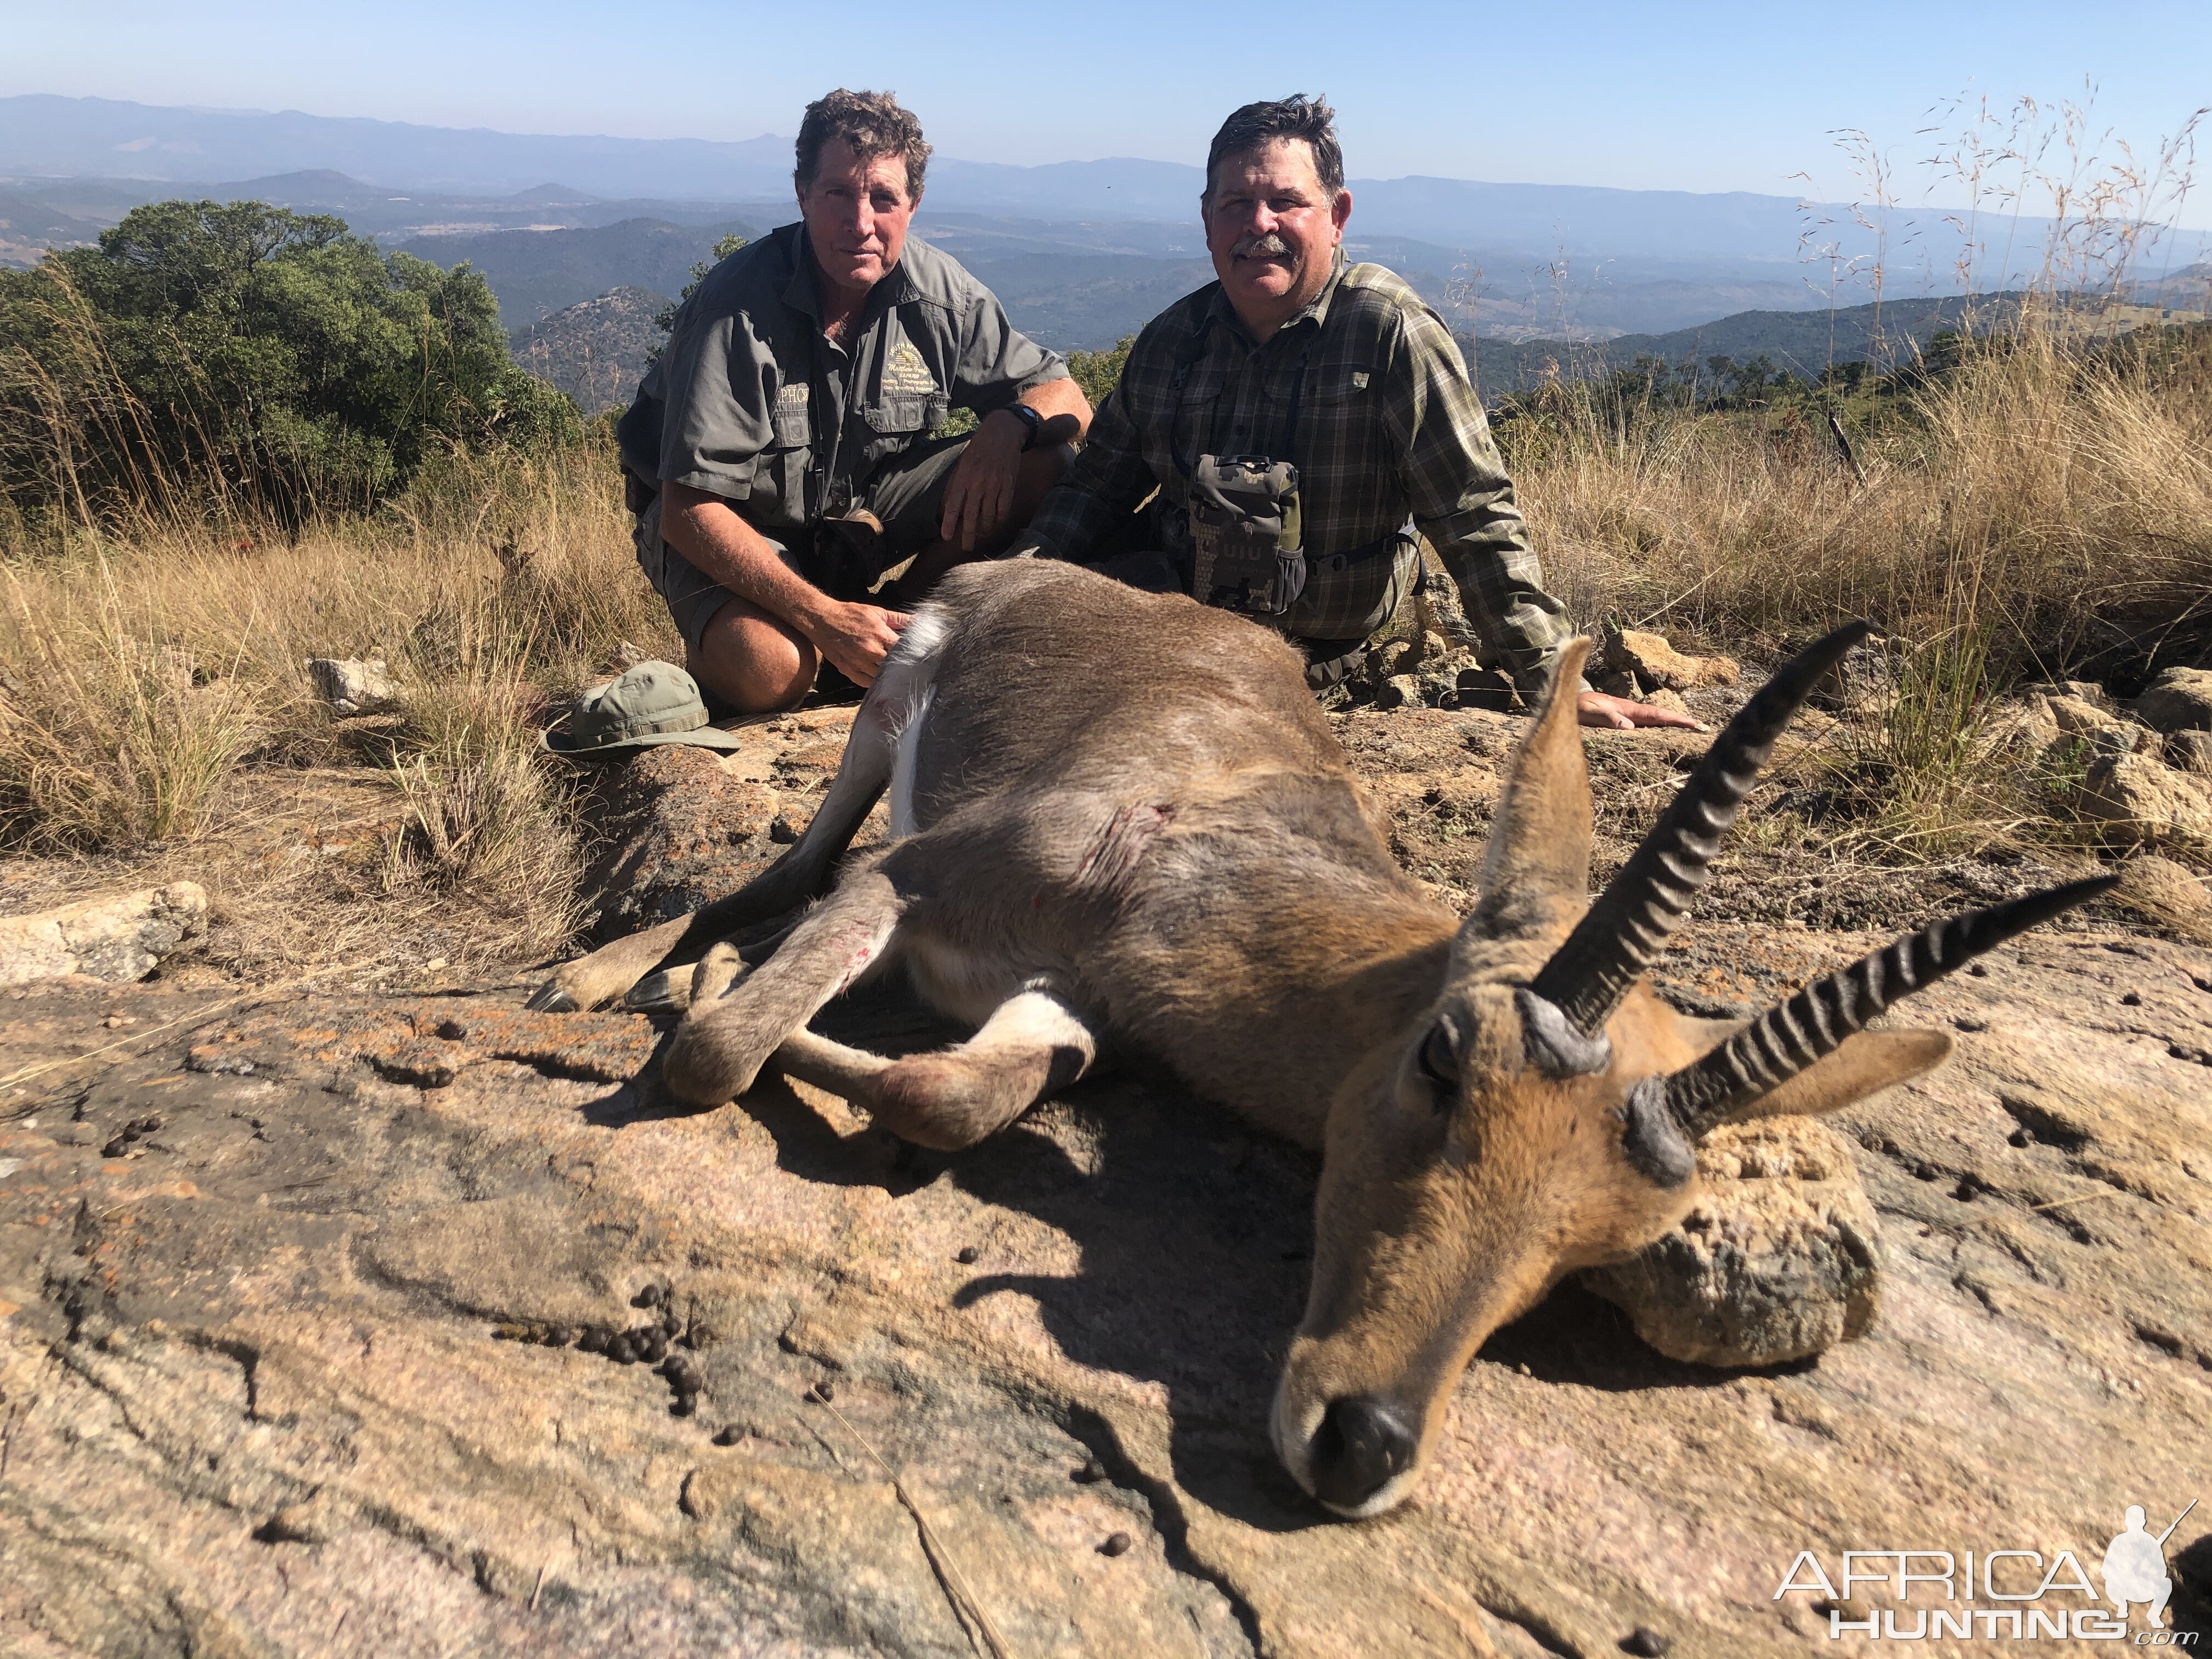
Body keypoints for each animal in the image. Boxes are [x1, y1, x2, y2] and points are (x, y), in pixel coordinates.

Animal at [535, 566, 2106, 1531]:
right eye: (1442, 1058)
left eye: (1614, 1237)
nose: (1364, 1446)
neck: (1194, 864)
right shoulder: (913, 877)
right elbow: (722, 1052)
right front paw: (677, 998)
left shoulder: (1078, 1010)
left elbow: (956, 1095)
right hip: (873, 732)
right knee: (779, 869)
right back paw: (598, 974)